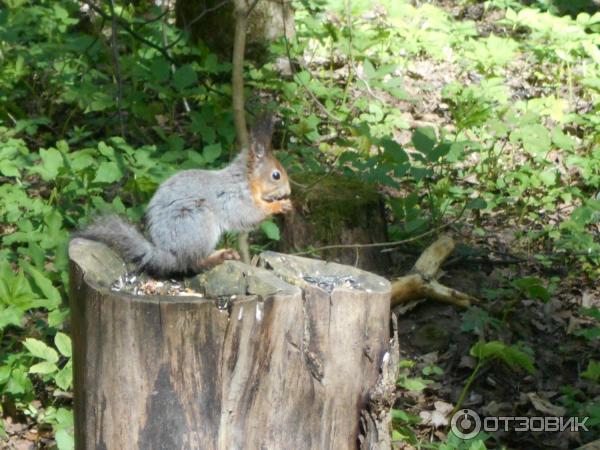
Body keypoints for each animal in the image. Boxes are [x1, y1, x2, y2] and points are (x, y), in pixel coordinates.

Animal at [76, 115, 292, 278]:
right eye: (276, 175)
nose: (289, 191)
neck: (246, 180)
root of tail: (163, 253)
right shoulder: (234, 197)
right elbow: (248, 215)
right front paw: (280, 205)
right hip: (199, 222)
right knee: (192, 263)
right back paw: (220, 255)